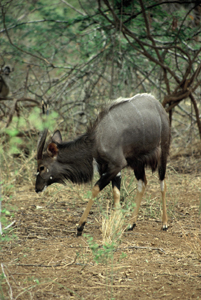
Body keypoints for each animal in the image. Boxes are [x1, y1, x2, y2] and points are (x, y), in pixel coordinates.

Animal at [35, 94, 170, 237]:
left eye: (42, 167)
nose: (37, 188)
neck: (97, 140)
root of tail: (158, 105)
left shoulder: (116, 165)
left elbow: (95, 189)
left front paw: (80, 226)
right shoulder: (112, 169)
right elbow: (116, 193)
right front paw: (117, 224)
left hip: (163, 153)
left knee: (162, 183)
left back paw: (164, 223)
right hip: (137, 163)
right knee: (142, 183)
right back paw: (131, 224)